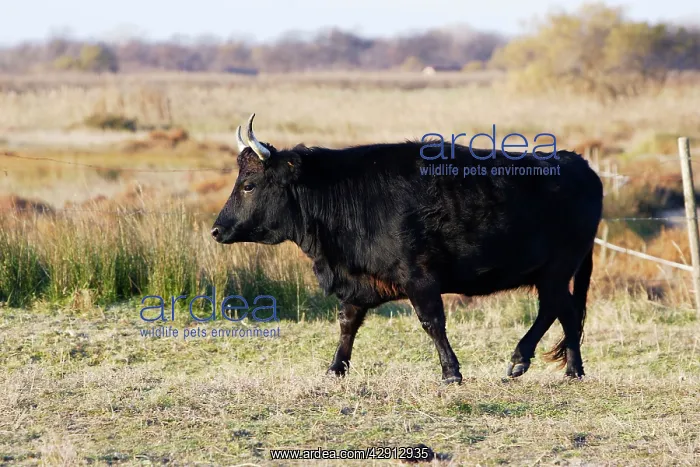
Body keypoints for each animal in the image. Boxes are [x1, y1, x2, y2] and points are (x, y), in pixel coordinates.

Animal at [211, 114, 603, 383]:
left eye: (248, 185)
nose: (217, 229)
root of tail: (576, 162)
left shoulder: (420, 278)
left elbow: (432, 322)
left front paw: (450, 372)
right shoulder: (359, 281)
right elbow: (347, 323)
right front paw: (336, 368)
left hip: (556, 270)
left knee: (554, 309)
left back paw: (522, 358)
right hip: (553, 273)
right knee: (567, 312)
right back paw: (573, 369)